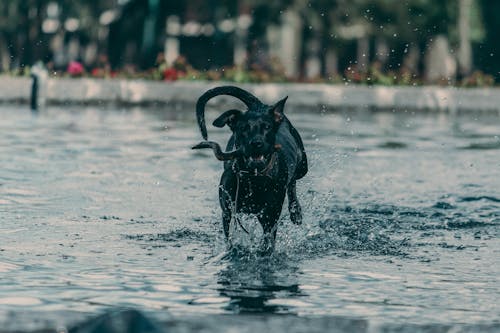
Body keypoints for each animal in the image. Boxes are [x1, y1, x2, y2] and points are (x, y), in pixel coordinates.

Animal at [192, 85, 306, 249]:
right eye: (243, 128)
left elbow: (268, 239)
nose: (256, 143)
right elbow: (229, 235)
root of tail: (261, 106)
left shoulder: (270, 215)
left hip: (303, 165)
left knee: (293, 182)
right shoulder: (228, 211)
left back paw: (296, 212)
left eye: (267, 127)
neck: (254, 178)